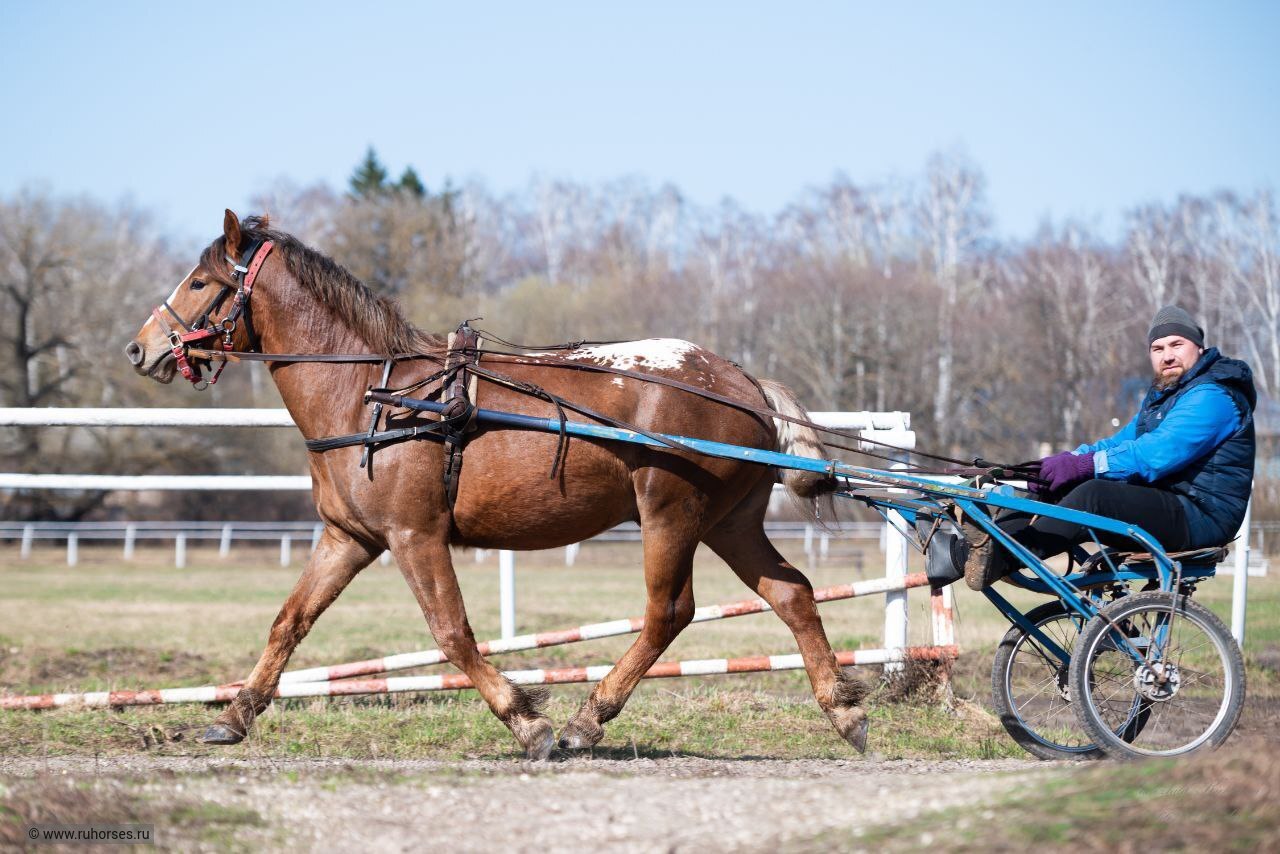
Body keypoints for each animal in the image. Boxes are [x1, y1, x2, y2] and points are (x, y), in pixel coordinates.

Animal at [124, 209, 875, 757]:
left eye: (199, 281)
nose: (140, 347)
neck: (378, 394)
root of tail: (740, 380)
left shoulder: (415, 536)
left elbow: (451, 632)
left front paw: (526, 720)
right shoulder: (350, 538)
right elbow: (290, 621)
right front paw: (233, 715)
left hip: (671, 513)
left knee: (669, 613)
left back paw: (587, 718)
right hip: (728, 521)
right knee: (792, 593)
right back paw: (841, 710)